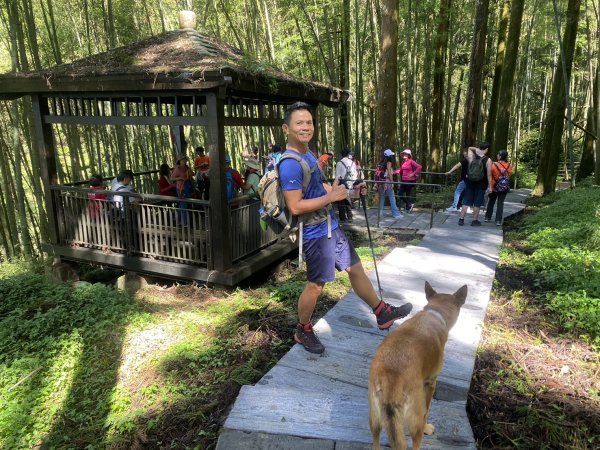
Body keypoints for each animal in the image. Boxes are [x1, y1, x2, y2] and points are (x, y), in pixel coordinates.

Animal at [366, 284, 468, 448]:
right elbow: (428, 410)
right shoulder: (431, 383)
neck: (435, 313)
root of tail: (391, 380)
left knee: (375, 441)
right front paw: (428, 427)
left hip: (374, 418)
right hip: (415, 418)